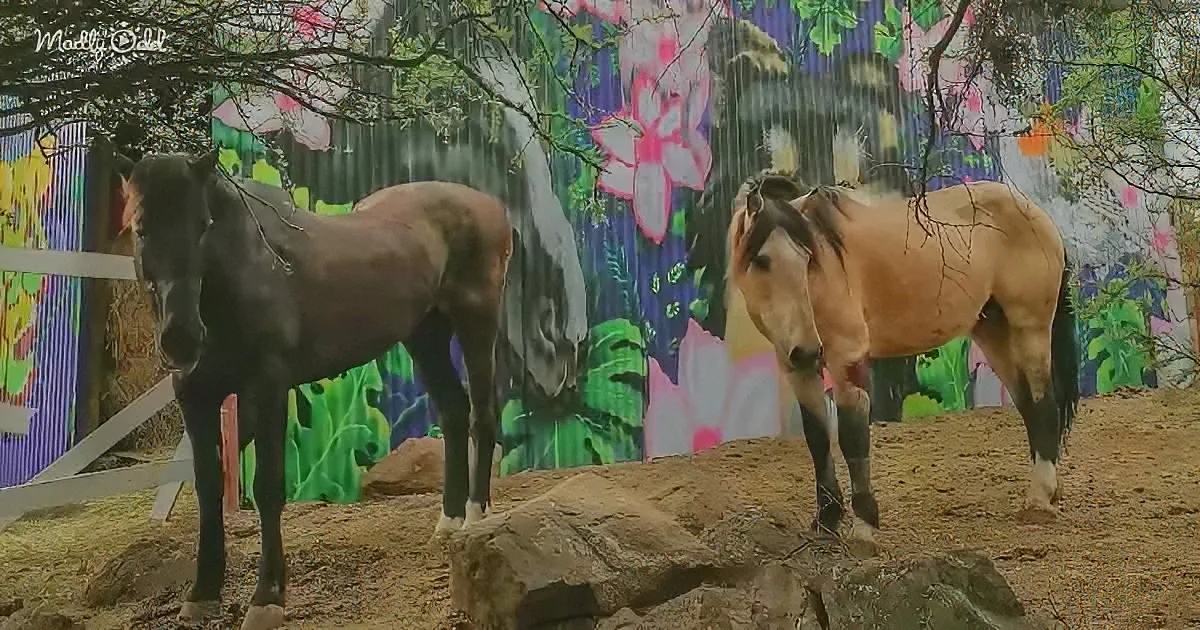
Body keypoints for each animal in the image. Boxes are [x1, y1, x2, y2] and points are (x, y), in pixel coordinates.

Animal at [111, 149, 513, 630]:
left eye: (203, 224)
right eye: (141, 228)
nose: (182, 338)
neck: (247, 267)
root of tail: (491, 206)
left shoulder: (267, 386)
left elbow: (267, 487)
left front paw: (267, 599)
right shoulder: (195, 395)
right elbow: (208, 487)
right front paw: (202, 593)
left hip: (477, 320)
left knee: (481, 415)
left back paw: (473, 520)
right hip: (424, 333)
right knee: (453, 412)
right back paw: (448, 525)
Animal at [725, 171, 1079, 556]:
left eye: (807, 258)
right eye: (761, 260)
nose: (806, 350)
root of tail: (1036, 213)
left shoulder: (847, 359)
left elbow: (852, 438)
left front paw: (864, 529)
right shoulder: (796, 369)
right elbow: (817, 438)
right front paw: (826, 521)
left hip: (1030, 328)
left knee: (1044, 404)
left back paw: (1039, 501)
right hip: (993, 331)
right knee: (1029, 407)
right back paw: (1048, 489)